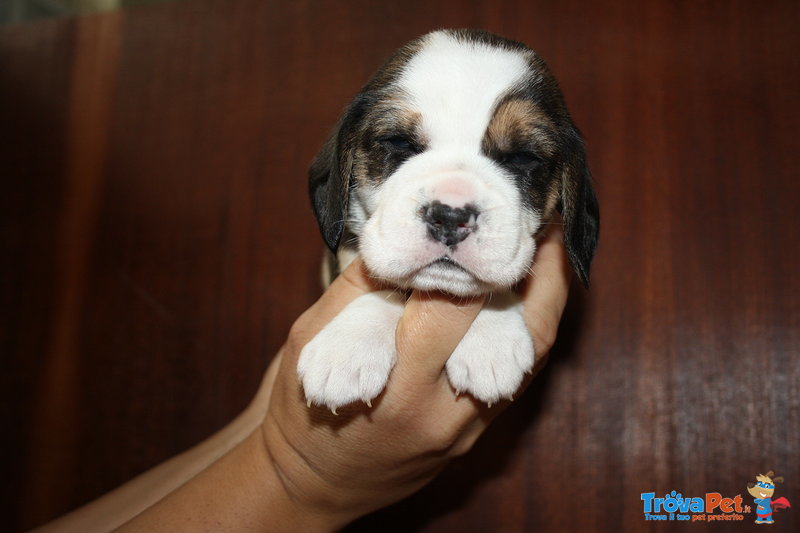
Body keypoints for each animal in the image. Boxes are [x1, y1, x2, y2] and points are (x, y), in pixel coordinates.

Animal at [296, 29, 596, 412]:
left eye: (522, 158)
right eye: (398, 142)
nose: (450, 217)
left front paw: (491, 336)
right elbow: (380, 282)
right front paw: (347, 347)